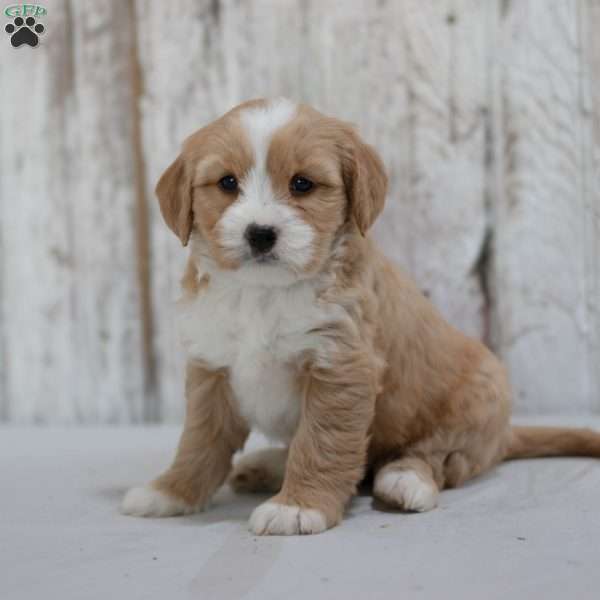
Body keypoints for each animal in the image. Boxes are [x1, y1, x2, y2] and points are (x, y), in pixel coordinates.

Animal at [120, 98, 600, 536]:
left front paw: (298, 506)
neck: (263, 294)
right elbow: (199, 441)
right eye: (227, 182)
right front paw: (171, 490)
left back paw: (404, 480)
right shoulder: (212, 367)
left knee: (439, 457)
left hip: (476, 401)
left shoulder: (340, 366)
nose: (260, 234)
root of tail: (504, 436)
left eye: (302, 184)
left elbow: (321, 441)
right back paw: (267, 464)